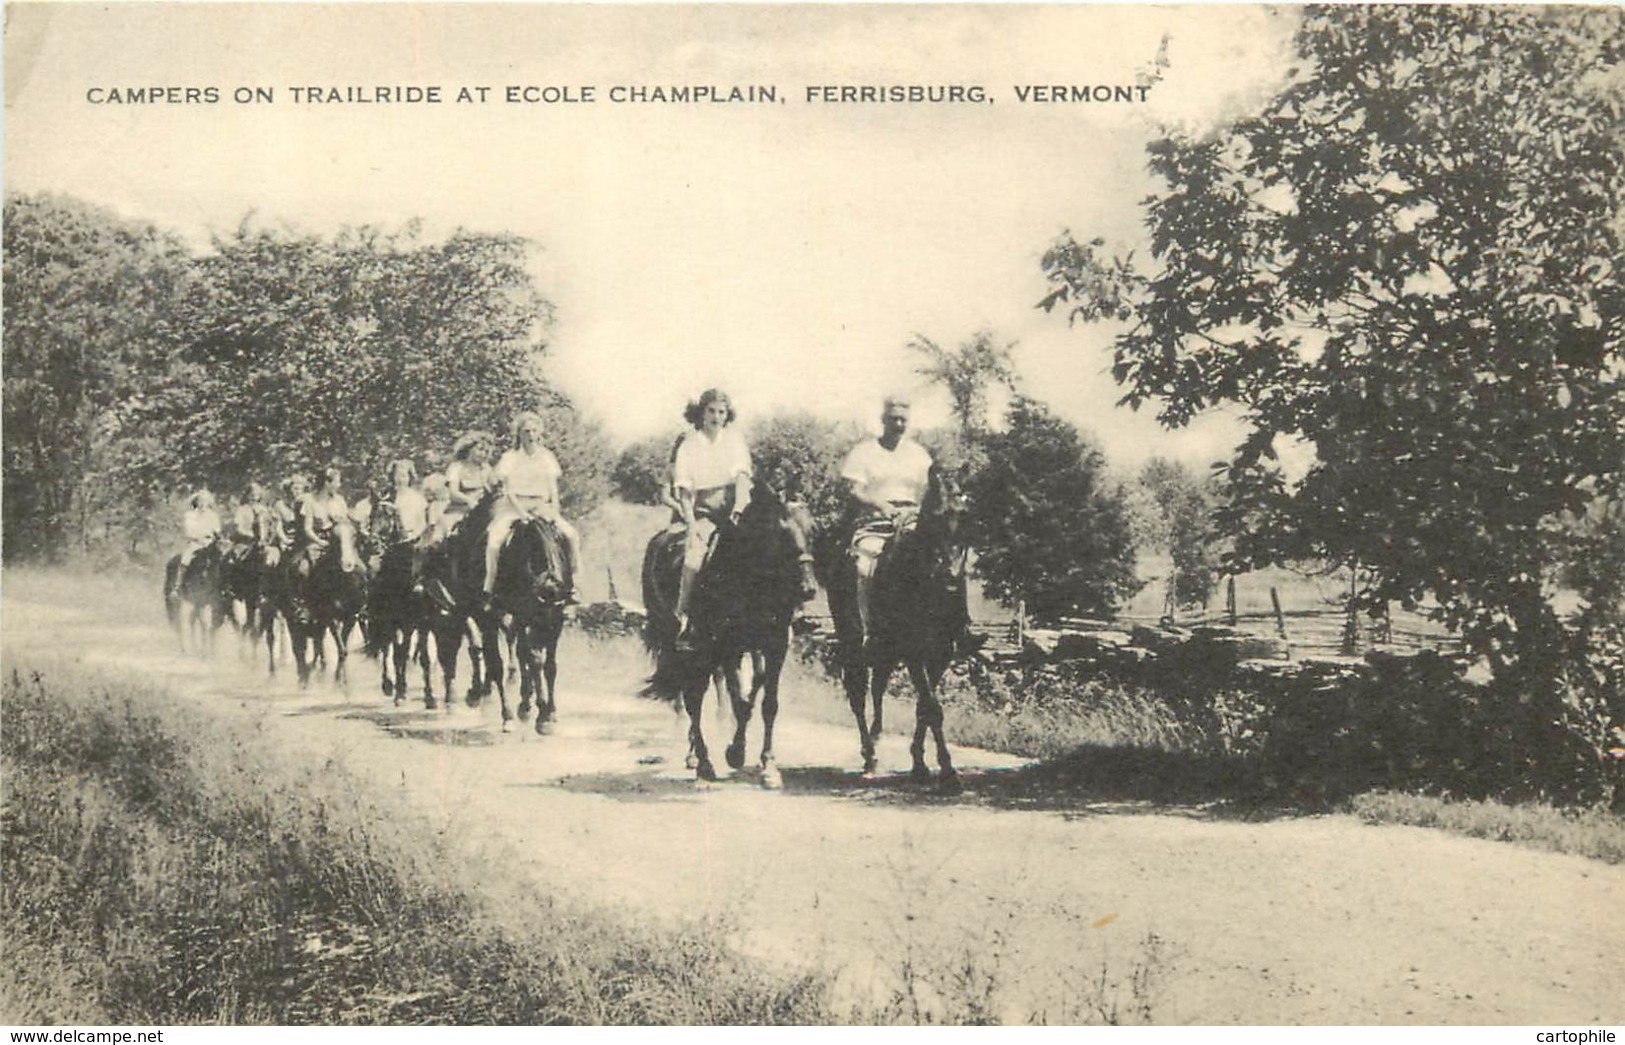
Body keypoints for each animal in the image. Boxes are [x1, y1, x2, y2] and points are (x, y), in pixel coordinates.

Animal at [481, 516, 572, 731]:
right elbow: (533, 660)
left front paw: (551, 712)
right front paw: (542, 715)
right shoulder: (524, 616)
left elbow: (550, 666)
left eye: (551, 619)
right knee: (520, 655)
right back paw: (520, 707)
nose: (543, 634)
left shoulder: (556, 622)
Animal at [640, 481, 819, 786]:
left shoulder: (775, 647)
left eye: (812, 530)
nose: (808, 588)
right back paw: (702, 764)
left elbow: (768, 704)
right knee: (693, 699)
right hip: (687, 647)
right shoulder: (730, 649)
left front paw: (769, 766)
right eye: (782, 532)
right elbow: (740, 703)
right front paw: (736, 752)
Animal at [819, 464, 968, 793]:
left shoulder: (941, 654)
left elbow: (924, 708)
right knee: (858, 694)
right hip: (853, 643)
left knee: (877, 688)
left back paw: (876, 741)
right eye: (935, 516)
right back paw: (869, 757)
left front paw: (919, 763)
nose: (952, 576)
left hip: (886, 651)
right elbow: (932, 707)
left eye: (965, 514)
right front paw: (947, 770)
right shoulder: (914, 653)